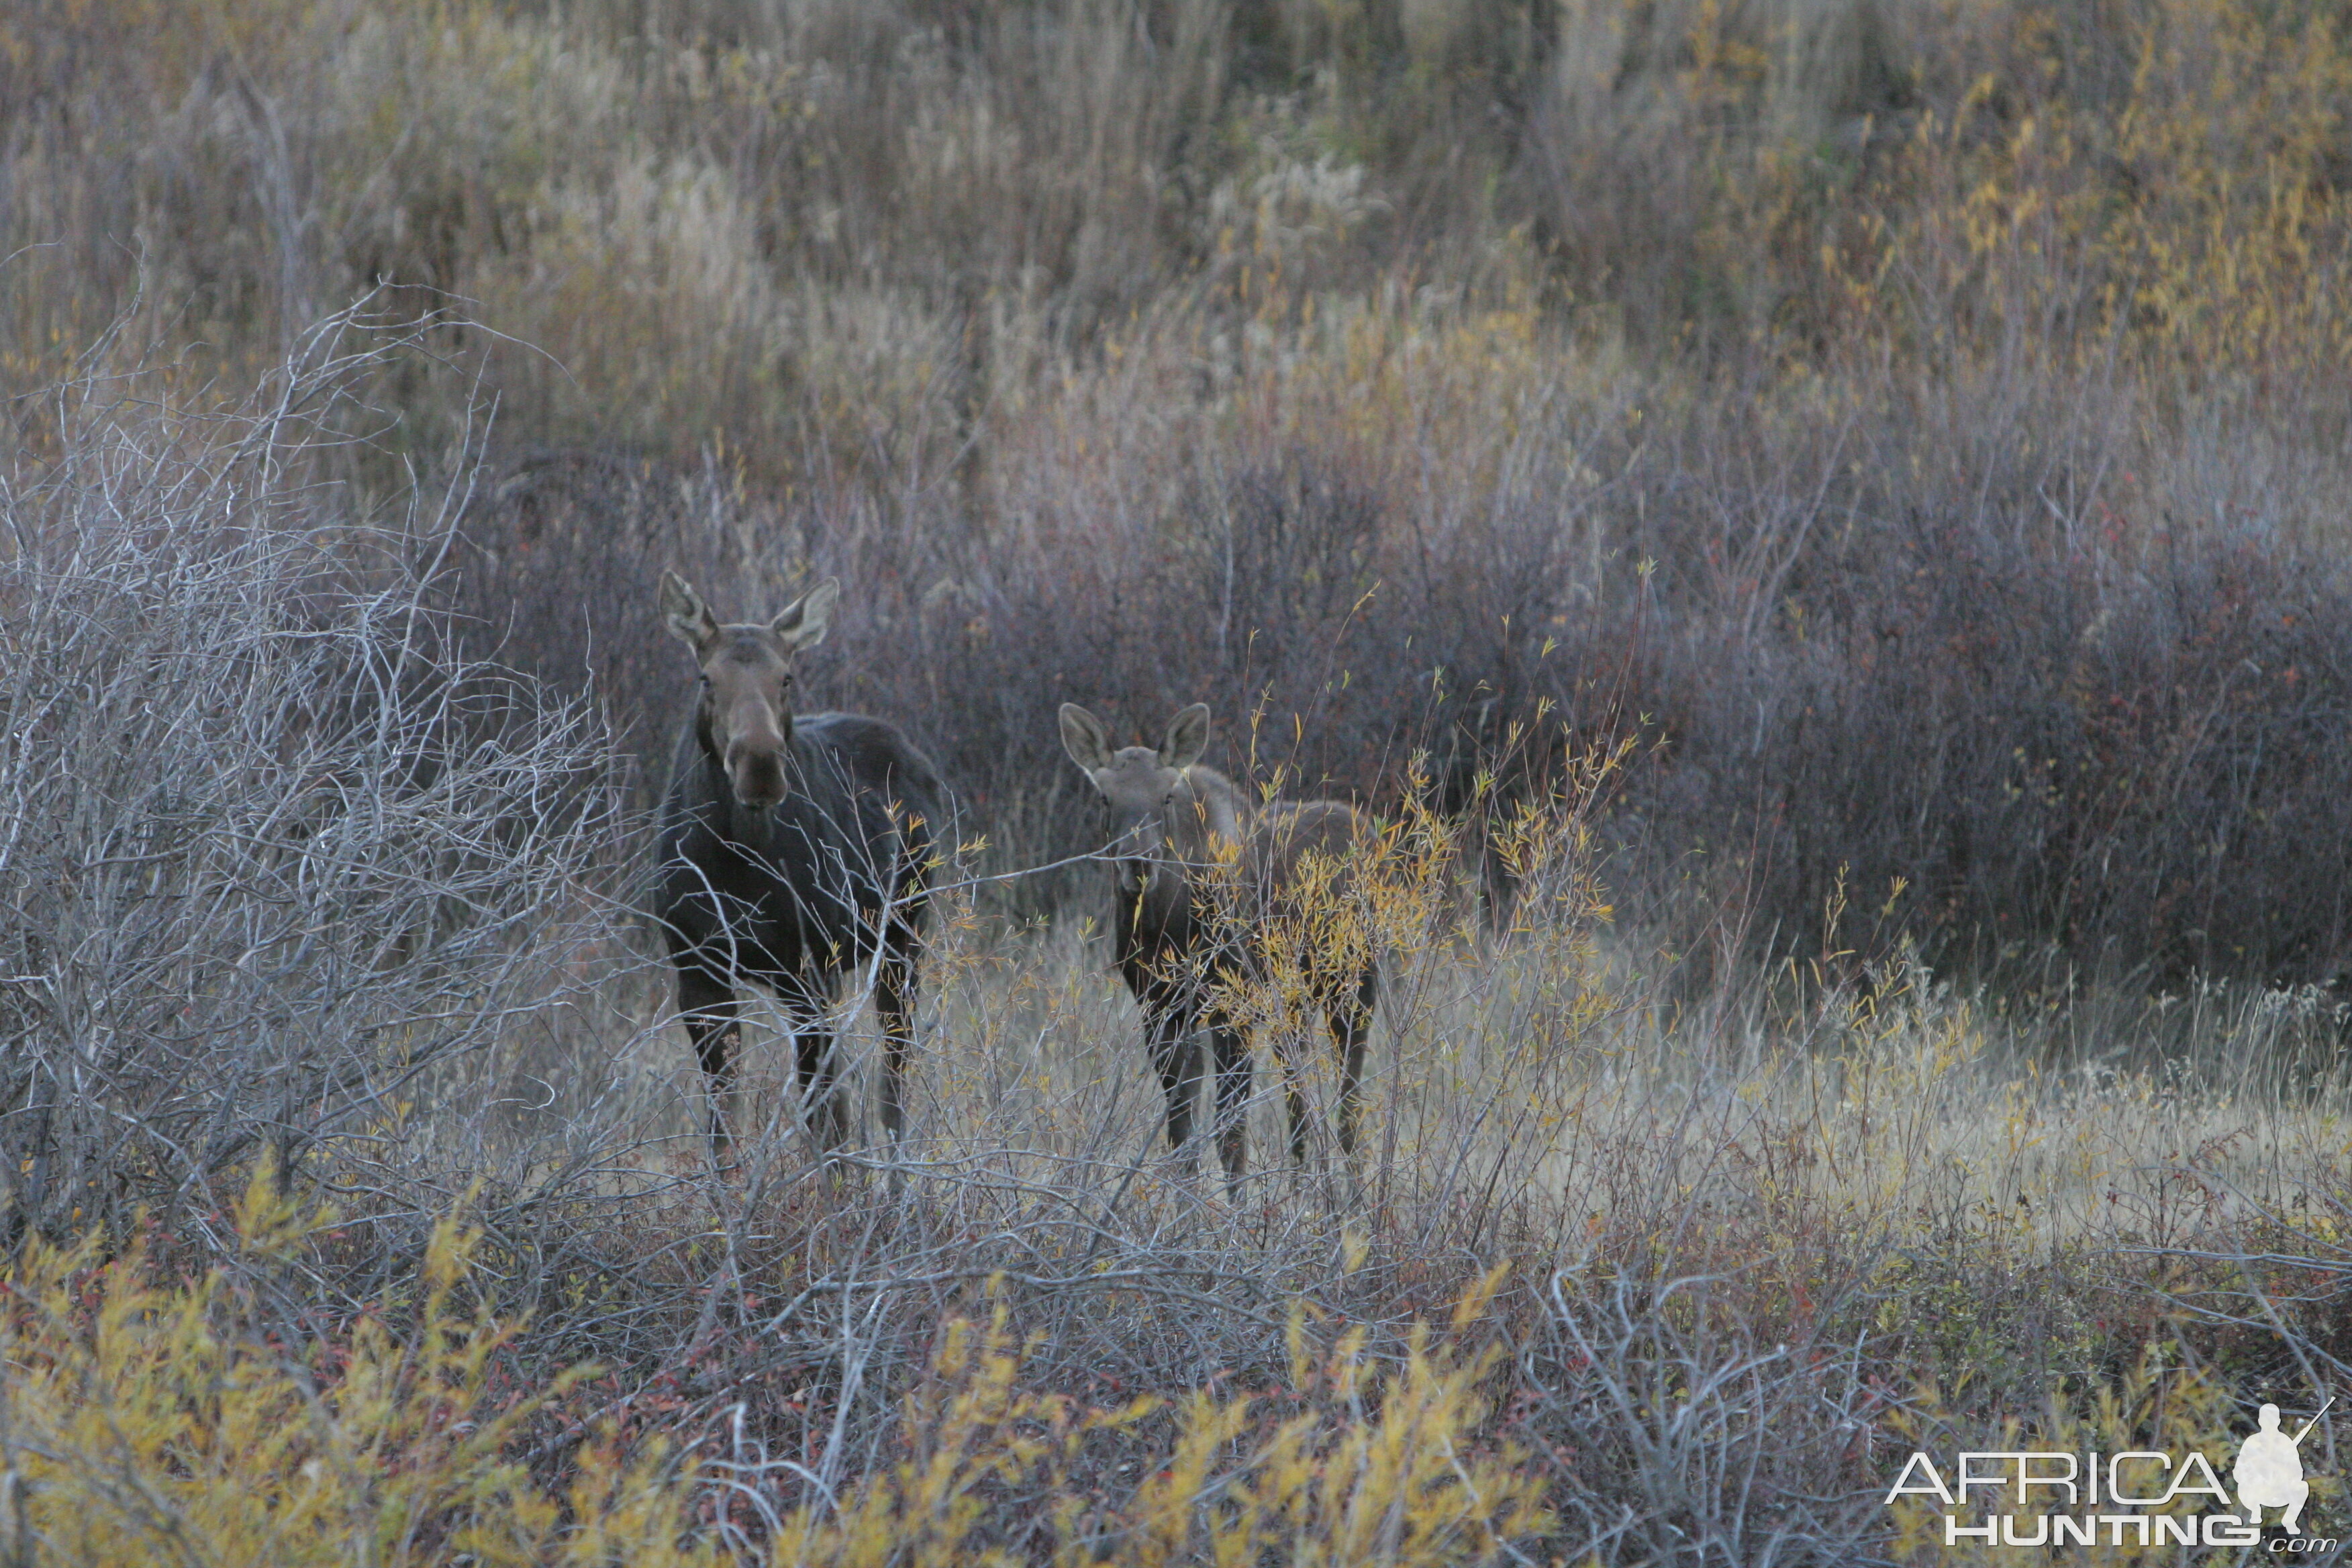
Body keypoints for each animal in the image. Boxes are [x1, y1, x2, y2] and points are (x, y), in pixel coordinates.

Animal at [654, 571, 945, 1161]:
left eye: (786, 676)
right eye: (705, 677)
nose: (760, 765)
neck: (737, 856)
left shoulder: (810, 968)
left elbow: (829, 1118)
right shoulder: (697, 969)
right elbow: (724, 1132)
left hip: (904, 935)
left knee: (892, 1085)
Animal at [1063, 705, 1383, 1185]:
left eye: (1166, 797)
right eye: (1105, 798)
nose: (1139, 863)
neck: (1167, 928)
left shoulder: (1235, 1008)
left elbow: (1231, 1137)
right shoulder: (1160, 1011)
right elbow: (1181, 1138)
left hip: (1353, 983)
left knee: (1348, 1108)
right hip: (1292, 1005)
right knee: (1300, 1104)